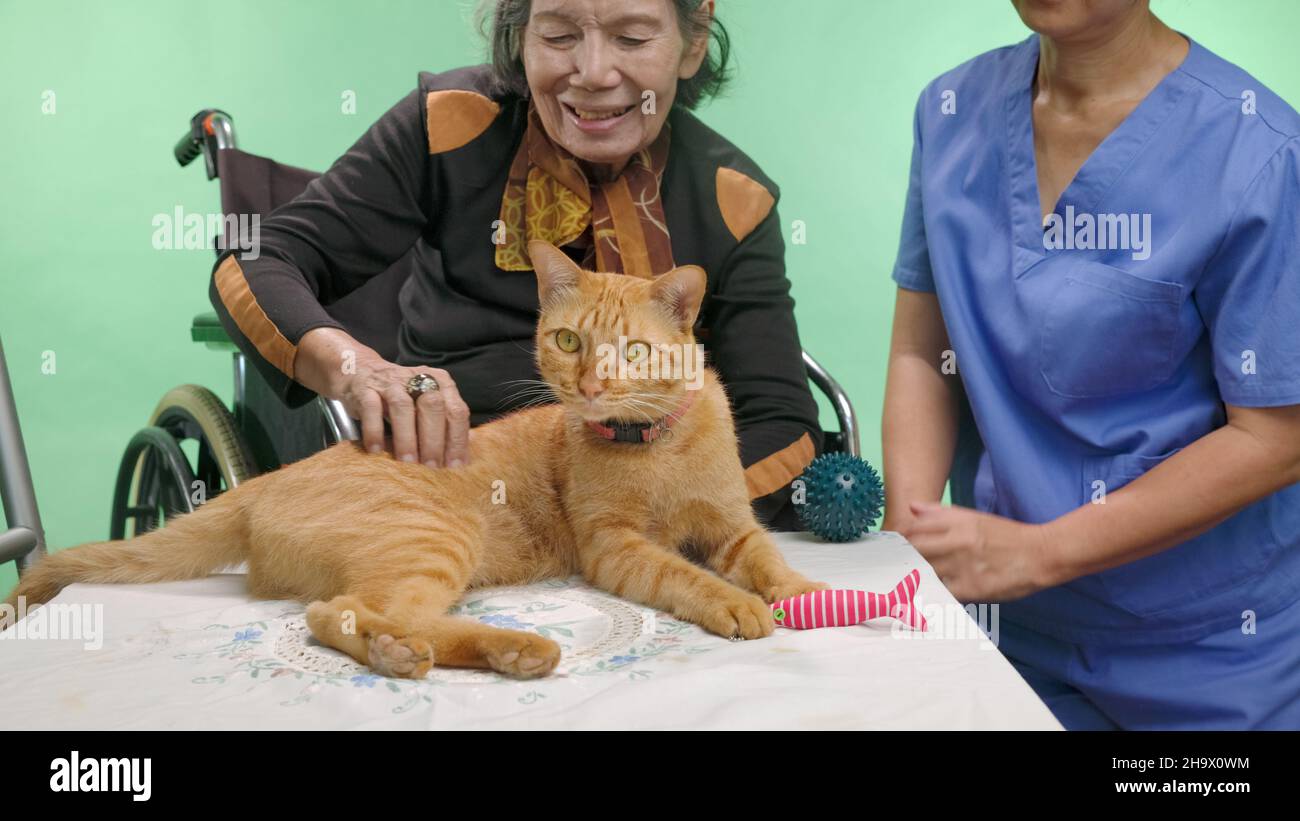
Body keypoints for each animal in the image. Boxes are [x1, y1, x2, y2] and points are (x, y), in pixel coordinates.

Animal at [5, 241, 821, 680]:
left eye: (635, 351)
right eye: (568, 341)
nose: (590, 386)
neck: (656, 446)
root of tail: (266, 481)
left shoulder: (732, 523)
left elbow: (766, 557)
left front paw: (800, 591)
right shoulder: (616, 547)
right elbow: (684, 574)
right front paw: (736, 605)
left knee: (352, 615)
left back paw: (437, 653)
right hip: (436, 539)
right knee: (347, 613)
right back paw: (493, 648)